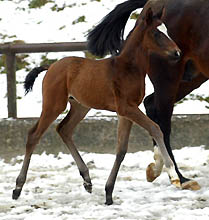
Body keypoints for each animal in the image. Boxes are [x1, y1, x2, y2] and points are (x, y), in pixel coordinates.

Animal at [12, 8, 181, 205]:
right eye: (156, 33)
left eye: (166, 30)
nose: (177, 53)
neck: (127, 69)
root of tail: (51, 66)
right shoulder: (127, 108)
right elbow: (155, 128)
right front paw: (173, 175)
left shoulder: (125, 113)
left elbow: (121, 150)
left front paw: (108, 193)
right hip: (54, 104)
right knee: (34, 135)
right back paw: (17, 187)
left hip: (80, 106)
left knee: (64, 129)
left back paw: (87, 180)